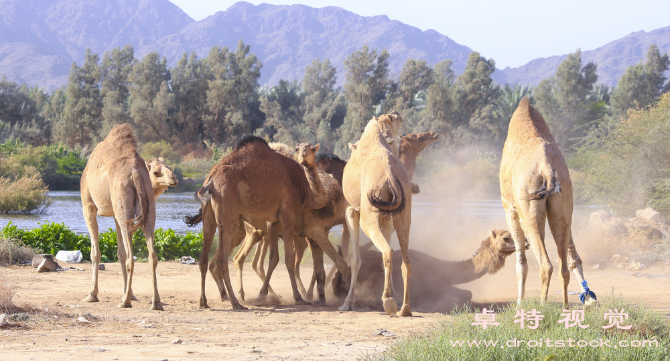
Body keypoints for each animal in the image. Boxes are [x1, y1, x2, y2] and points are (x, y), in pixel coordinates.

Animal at [80, 124, 178, 310]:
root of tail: (136, 173)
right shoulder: (116, 215)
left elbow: (95, 252)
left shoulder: (88, 205)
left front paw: (91, 295)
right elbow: (121, 252)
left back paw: (125, 302)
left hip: (120, 201)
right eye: (156, 172)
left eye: (170, 168)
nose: (174, 179)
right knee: (151, 254)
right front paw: (130, 293)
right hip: (145, 206)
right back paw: (155, 303)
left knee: (131, 259)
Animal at [184, 136, 352, 308]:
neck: (308, 192)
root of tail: (210, 181)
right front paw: (298, 297)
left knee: (205, 258)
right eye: (298, 149)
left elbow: (275, 258)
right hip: (227, 211)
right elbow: (288, 259)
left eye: (312, 148)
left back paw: (206, 301)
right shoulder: (288, 213)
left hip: (210, 214)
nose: (304, 155)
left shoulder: (275, 221)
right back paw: (236, 302)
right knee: (225, 260)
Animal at [344, 110, 418, 316]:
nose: (397, 113)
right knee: (405, 261)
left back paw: (388, 301)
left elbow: (355, 259)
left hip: (369, 218)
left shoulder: (352, 211)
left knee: (386, 251)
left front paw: (347, 303)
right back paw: (405, 308)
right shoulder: (387, 218)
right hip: (403, 216)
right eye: (393, 119)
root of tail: (390, 175)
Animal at [498, 97, 600, 306]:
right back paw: (566, 307)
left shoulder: (510, 209)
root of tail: (546, 168)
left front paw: (519, 304)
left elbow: (520, 262)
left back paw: (543, 306)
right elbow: (574, 256)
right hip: (562, 206)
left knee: (545, 264)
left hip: (530, 211)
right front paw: (589, 299)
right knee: (564, 266)